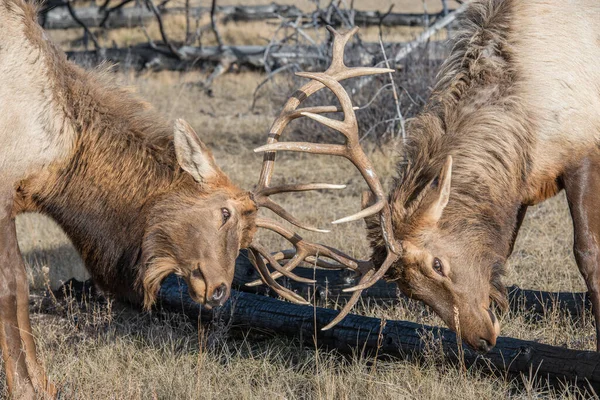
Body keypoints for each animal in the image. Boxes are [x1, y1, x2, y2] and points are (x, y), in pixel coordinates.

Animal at [251, 0, 600, 356]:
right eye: (409, 290)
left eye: (437, 264)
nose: (481, 340)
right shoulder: (519, 187)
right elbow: (504, 249)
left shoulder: (584, 152)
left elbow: (587, 254)